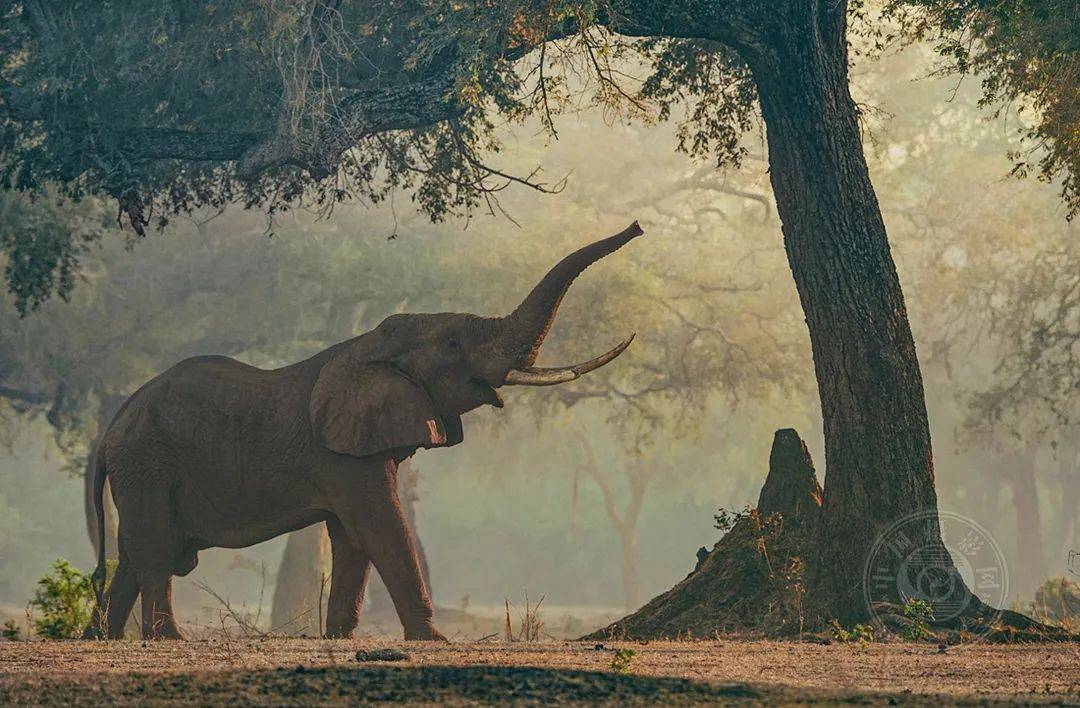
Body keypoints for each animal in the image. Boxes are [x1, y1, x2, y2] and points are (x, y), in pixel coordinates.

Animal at [88, 221, 643, 643]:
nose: (637, 228)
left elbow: (352, 537)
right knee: (154, 547)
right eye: (453, 344)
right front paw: (433, 641)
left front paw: (338, 637)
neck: (369, 344)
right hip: (147, 462)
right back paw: (166, 639)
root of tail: (111, 428)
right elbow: (379, 525)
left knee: (130, 553)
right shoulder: (342, 454)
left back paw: (103, 637)